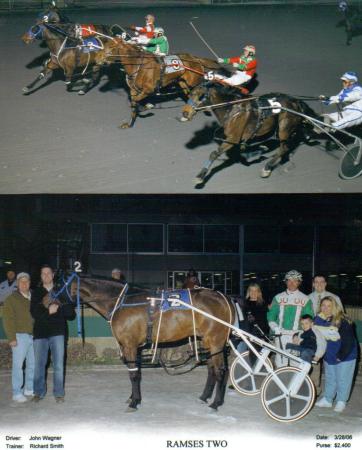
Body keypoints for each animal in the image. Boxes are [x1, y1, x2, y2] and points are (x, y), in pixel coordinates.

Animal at [70, 278, 235, 412]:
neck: (122, 301)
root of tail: (223, 298)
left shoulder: (130, 345)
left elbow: (133, 374)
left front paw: (134, 402)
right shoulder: (134, 347)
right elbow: (136, 371)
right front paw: (133, 397)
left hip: (215, 341)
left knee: (220, 371)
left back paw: (216, 403)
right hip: (207, 341)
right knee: (211, 369)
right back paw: (204, 396)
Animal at [181, 83, 316, 184]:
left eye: (200, 96)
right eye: (189, 94)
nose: (185, 113)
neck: (232, 109)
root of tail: (296, 102)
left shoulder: (233, 138)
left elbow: (214, 154)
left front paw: (200, 176)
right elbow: (243, 149)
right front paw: (256, 150)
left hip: (284, 128)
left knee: (284, 147)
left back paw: (267, 168)